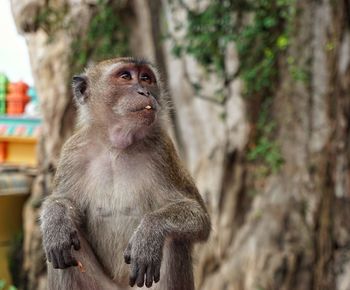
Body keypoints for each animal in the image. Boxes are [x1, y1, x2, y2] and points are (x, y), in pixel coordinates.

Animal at [40, 57, 212, 290]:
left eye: (146, 78)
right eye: (125, 76)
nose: (144, 92)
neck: (116, 147)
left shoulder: (163, 153)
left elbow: (198, 216)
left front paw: (150, 232)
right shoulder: (72, 153)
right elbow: (62, 200)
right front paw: (56, 220)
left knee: (174, 240)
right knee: (64, 244)